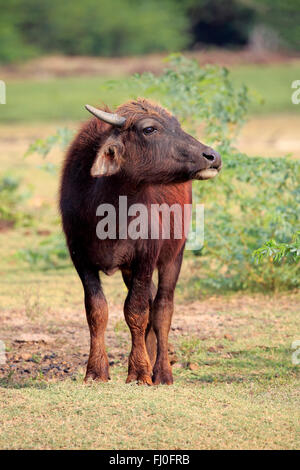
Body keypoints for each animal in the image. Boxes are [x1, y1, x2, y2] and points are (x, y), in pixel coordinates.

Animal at [59, 99, 221, 386]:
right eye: (149, 129)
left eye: (177, 125)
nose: (212, 156)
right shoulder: (80, 259)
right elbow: (96, 311)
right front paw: (96, 371)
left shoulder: (146, 258)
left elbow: (136, 311)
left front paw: (139, 371)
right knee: (152, 301)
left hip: (174, 256)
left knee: (162, 307)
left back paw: (162, 372)